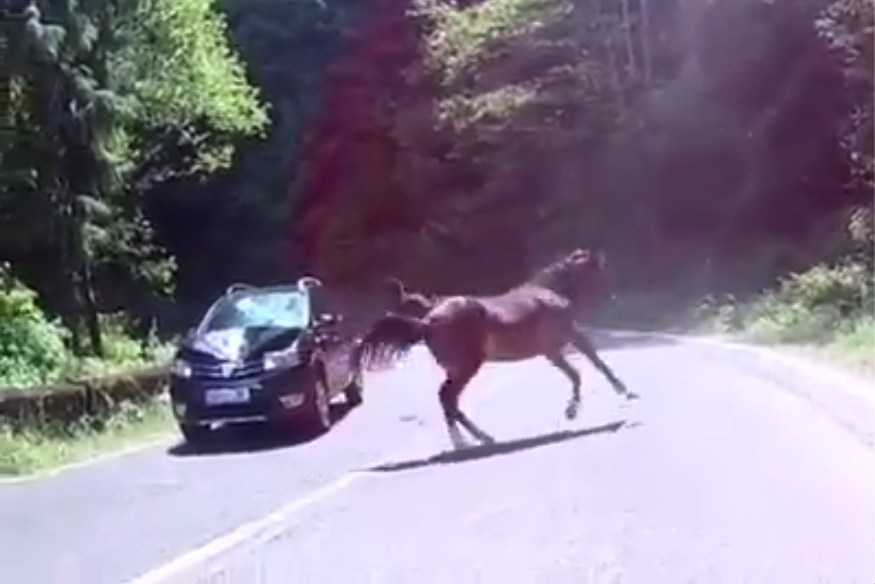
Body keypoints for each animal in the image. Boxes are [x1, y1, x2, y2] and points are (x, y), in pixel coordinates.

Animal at [356, 249, 636, 450]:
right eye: (600, 272)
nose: (613, 296)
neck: (551, 294)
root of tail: (427, 321)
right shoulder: (567, 340)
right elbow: (590, 366)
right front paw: (604, 399)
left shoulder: (553, 351)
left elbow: (583, 369)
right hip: (467, 367)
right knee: (448, 398)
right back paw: (476, 440)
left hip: (458, 369)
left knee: (448, 402)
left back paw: (471, 441)